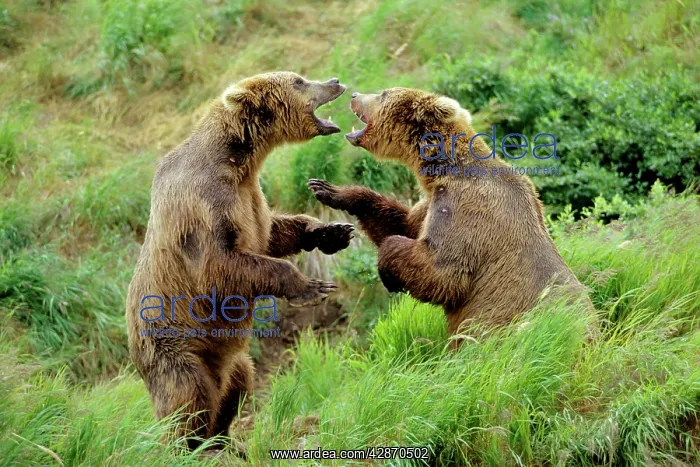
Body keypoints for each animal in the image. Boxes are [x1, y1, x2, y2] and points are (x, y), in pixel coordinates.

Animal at [125, 72, 352, 449]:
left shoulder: (251, 198)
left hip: (230, 359)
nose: (334, 80)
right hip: (173, 347)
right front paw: (313, 286)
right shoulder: (204, 207)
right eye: (299, 80)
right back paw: (191, 445)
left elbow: (271, 234)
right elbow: (220, 265)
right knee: (188, 396)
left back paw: (226, 440)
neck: (237, 160)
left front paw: (332, 231)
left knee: (238, 383)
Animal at [308, 87, 591, 338]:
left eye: (383, 93)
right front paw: (328, 189)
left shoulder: (465, 209)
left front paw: (389, 274)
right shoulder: (432, 202)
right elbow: (404, 224)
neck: (443, 169)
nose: (354, 95)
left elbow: (443, 270)